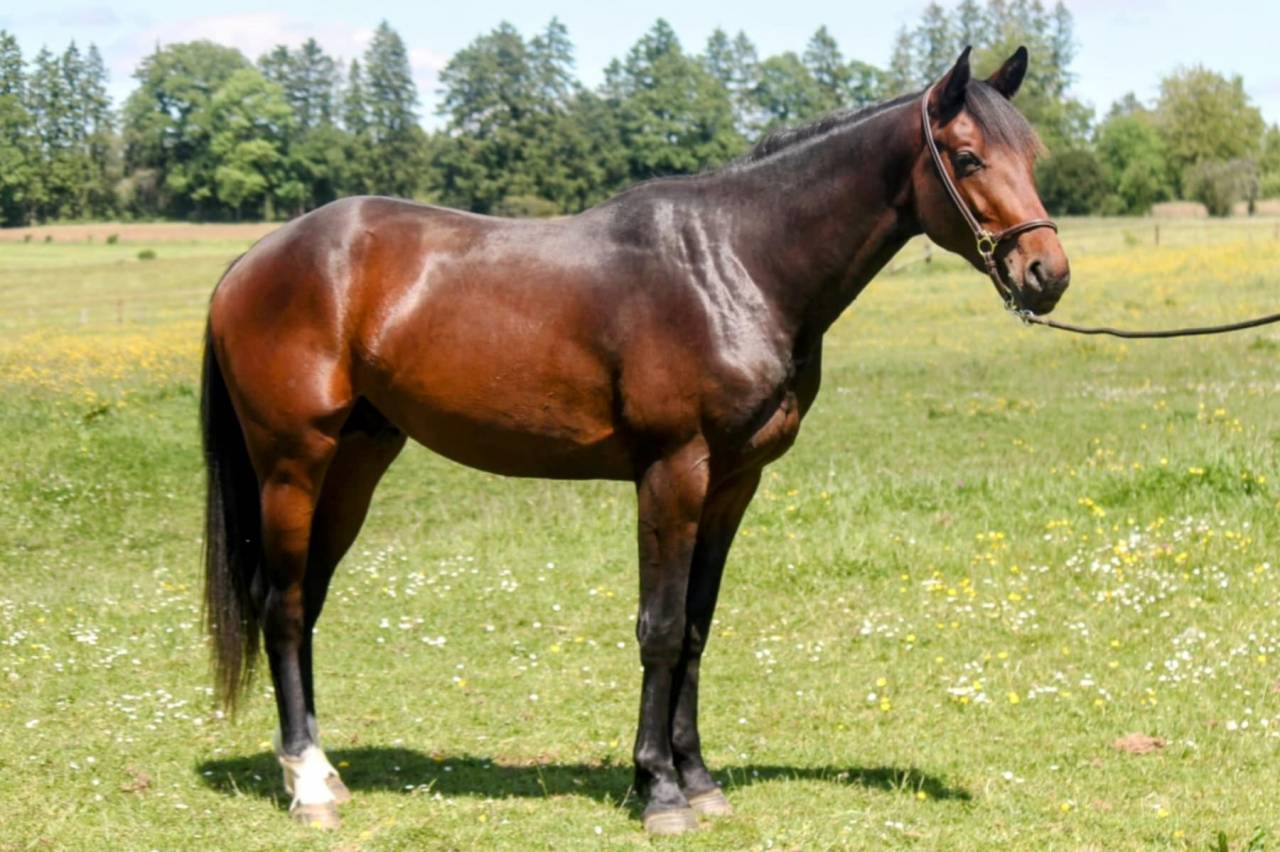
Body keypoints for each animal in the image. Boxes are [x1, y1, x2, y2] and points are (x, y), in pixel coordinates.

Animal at [201, 45, 1069, 835]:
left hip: (358, 460)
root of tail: (254, 260)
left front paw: (699, 780)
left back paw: (324, 772)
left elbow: (695, 629)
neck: (735, 263)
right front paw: (658, 791)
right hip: (293, 464)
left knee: (307, 600)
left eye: (1032, 156)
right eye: (967, 157)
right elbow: (659, 628)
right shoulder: (672, 471)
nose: (1047, 274)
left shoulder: (733, 483)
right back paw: (307, 786)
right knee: (282, 607)